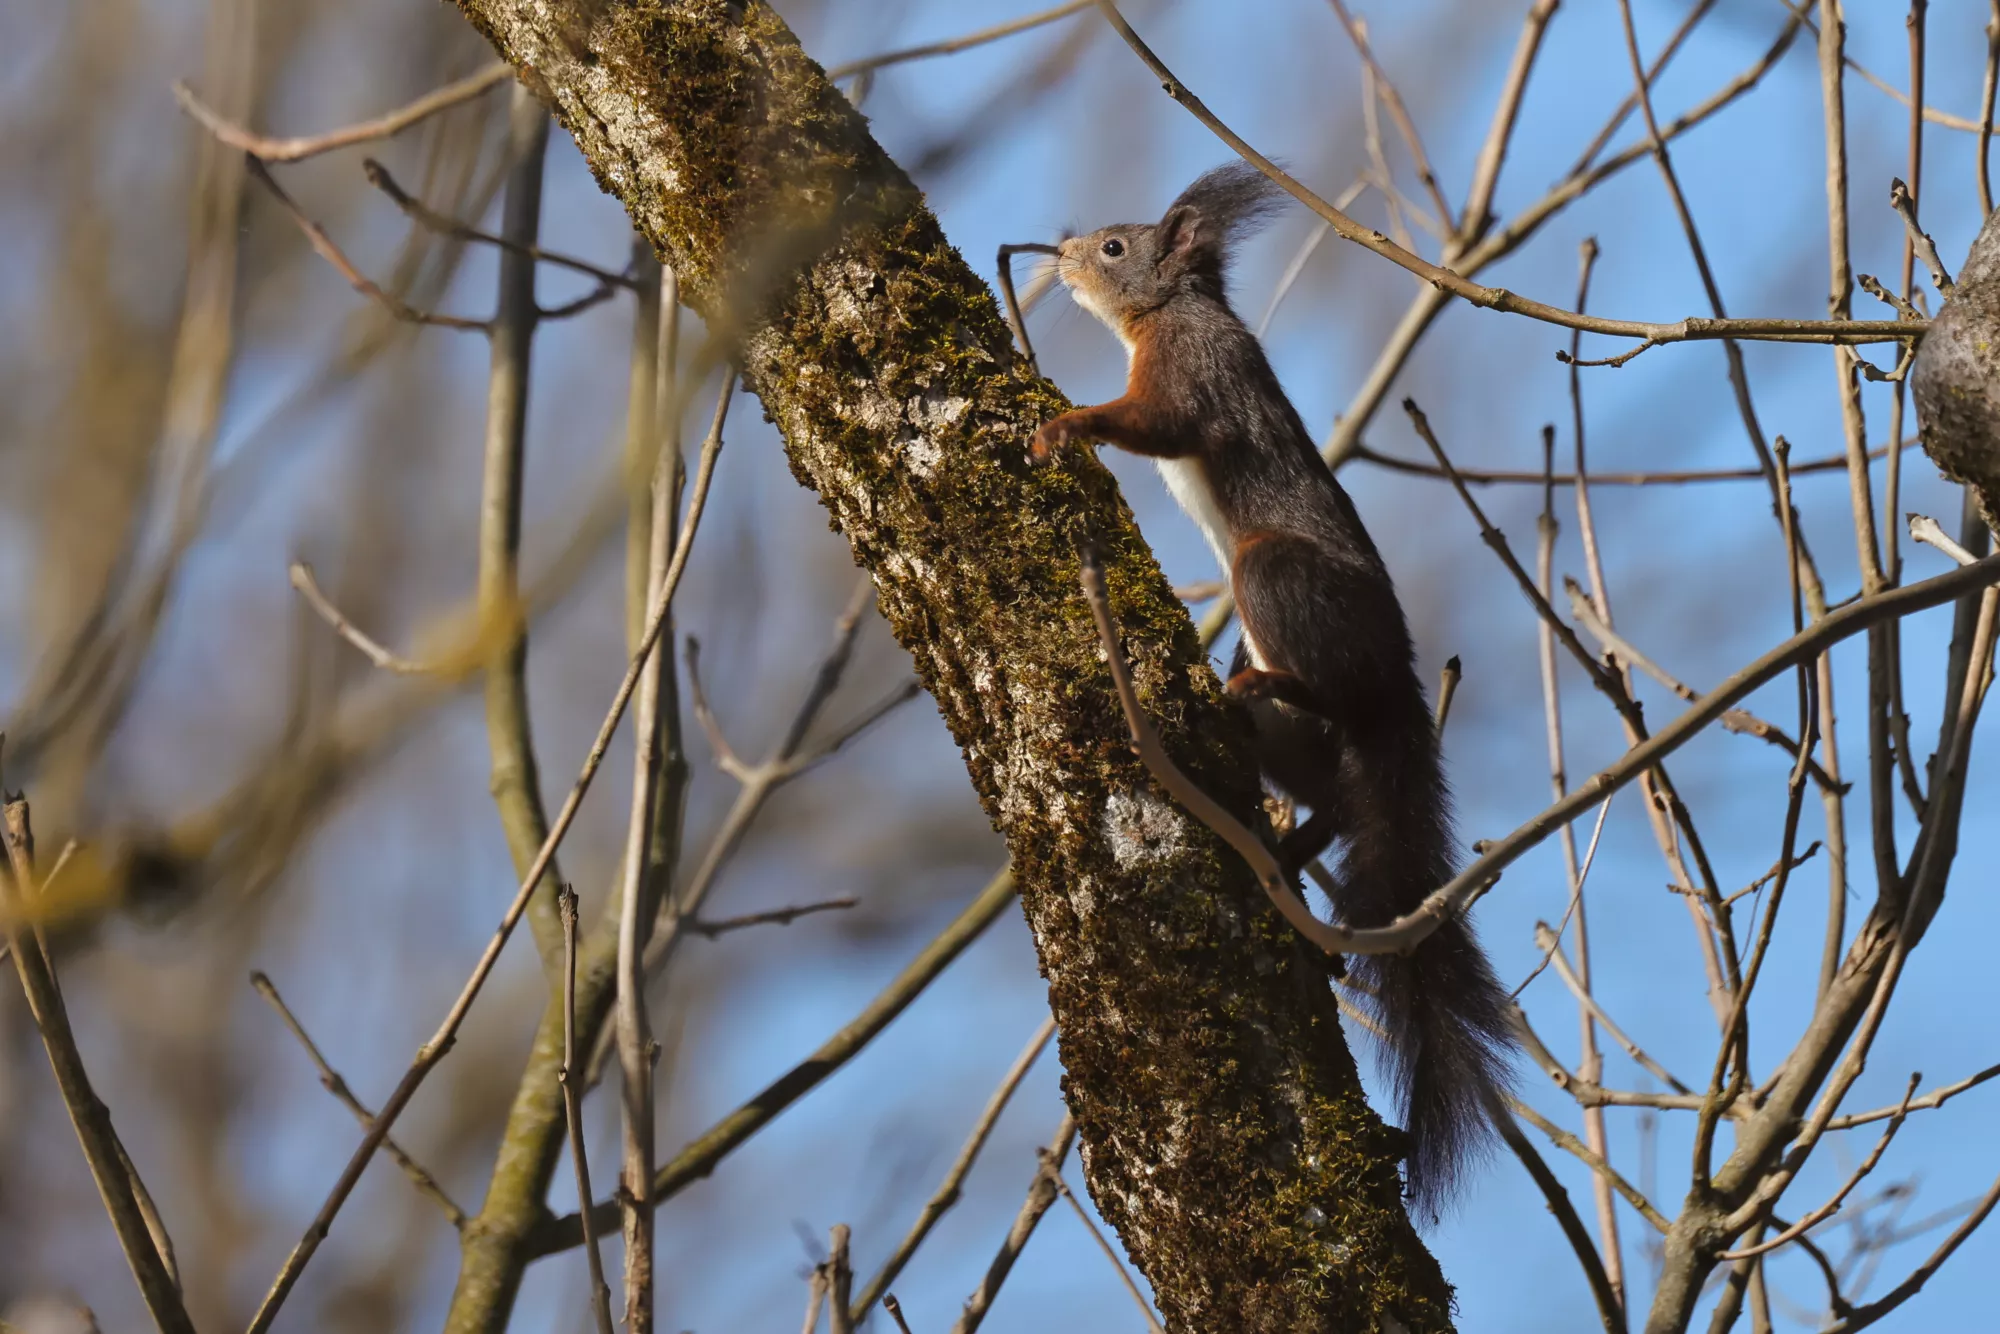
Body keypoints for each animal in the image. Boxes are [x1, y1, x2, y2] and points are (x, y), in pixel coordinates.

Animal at [1029, 162, 1516, 1213]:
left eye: (1117, 247)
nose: (1061, 252)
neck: (1173, 310)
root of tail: (1399, 694)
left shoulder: (1194, 372)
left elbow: (1160, 423)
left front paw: (1066, 422)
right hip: (1296, 746)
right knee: (1333, 797)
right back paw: (1287, 843)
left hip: (1273, 574)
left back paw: (1249, 679)